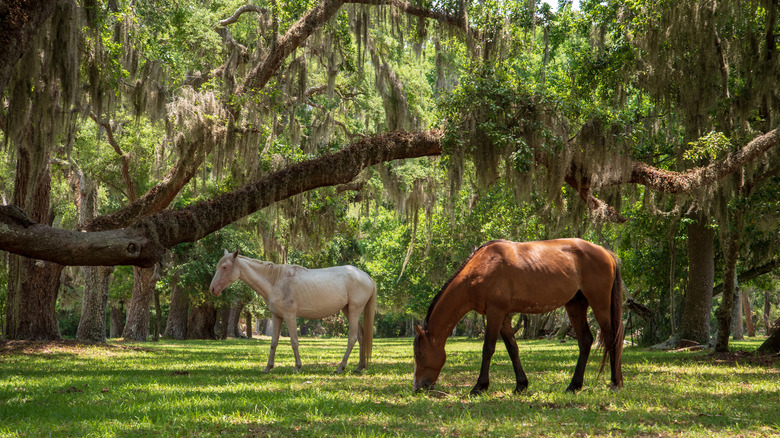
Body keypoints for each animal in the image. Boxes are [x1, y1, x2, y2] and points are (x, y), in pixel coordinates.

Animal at [209, 250, 376, 372]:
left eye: (225, 267)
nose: (212, 289)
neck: (275, 280)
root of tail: (366, 277)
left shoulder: (289, 316)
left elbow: (294, 341)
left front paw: (297, 367)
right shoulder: (277, 316)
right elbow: (274, 342)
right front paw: (268, 367)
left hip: (354, 310)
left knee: (352, 338)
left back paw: (341, 367)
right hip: (347, 311)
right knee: (361, 336)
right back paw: (359, 367)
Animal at [412, 238, 624, 396]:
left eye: (420, 354)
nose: (418, 388)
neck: (481, 268)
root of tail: (606, 253)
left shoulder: (495, 313)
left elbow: (488, 349)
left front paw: (479, 387)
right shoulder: (503, 316)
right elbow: (513, 349)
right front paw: (521, 385)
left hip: (599, 304)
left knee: (611, 338)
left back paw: (615, 383)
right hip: (576, 305)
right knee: (585, 341)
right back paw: (574, 386)